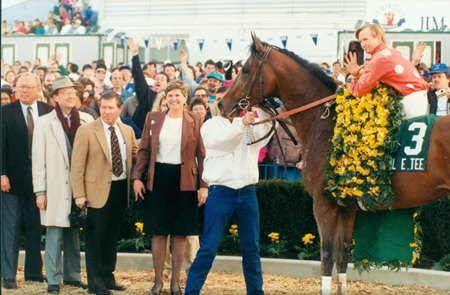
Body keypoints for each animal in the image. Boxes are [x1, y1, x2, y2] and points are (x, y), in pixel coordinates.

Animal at [218, 34, 450, 295]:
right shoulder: (347, 209)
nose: (222, 103)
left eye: (245, 70)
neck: (327, 125)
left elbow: (326, 258)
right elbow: (341, 258)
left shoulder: (323, 206)